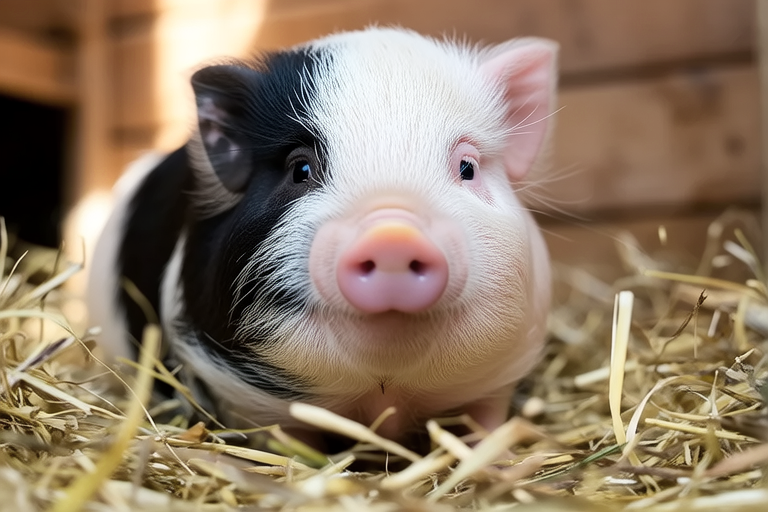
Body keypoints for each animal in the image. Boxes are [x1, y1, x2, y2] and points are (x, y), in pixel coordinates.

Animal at [88, 27, 556, 445]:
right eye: (301, 169)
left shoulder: (499, 379)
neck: (384, 397)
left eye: (467, 167)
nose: (392, 235)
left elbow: (487, 425)